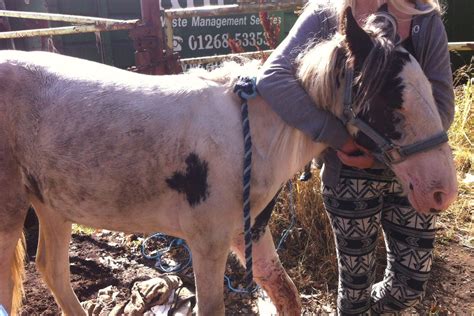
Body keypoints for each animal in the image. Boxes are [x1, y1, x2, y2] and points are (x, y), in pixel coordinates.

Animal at [0, 8, 460, 314]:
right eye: (389, 101)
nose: (442, 191)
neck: (251, 138)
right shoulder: (206, 243)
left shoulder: (249, 231)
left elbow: (284, 291)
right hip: (11, 211)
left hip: (52, 205)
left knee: (52, 270)